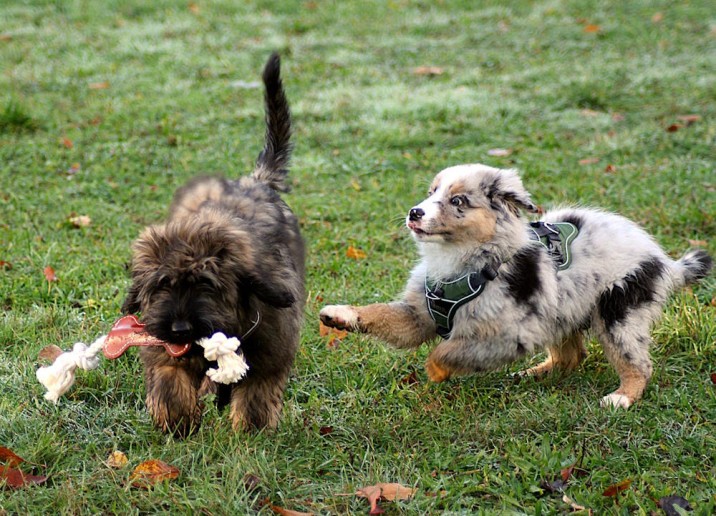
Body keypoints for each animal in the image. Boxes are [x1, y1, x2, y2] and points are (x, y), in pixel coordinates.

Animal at [121, 54, 304, 436]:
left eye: (206, 285)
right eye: (161, 286)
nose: (180, 329)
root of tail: (255, 181)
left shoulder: (271, 347)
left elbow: (257, 389)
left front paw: (252, 429)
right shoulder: (165, 350)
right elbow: (169, 376)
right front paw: (177, 419)